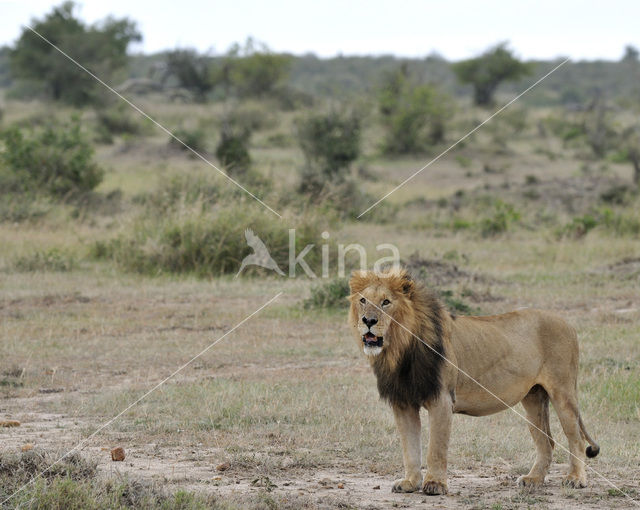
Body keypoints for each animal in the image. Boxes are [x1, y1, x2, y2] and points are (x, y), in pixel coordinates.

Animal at [348, 266, 596, 494]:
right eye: (363, 300)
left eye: (386, 302)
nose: (368, 320)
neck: (399, 350)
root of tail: (568, 323)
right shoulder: (403, 403)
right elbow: (410, 447)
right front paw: (410, 482)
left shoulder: (442, 400)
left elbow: (435, 448)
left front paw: (435, 484)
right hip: (533, 398)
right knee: (546, 441)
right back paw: (533, 479)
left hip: (563, 392)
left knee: (576, 439)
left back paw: (575, 479)